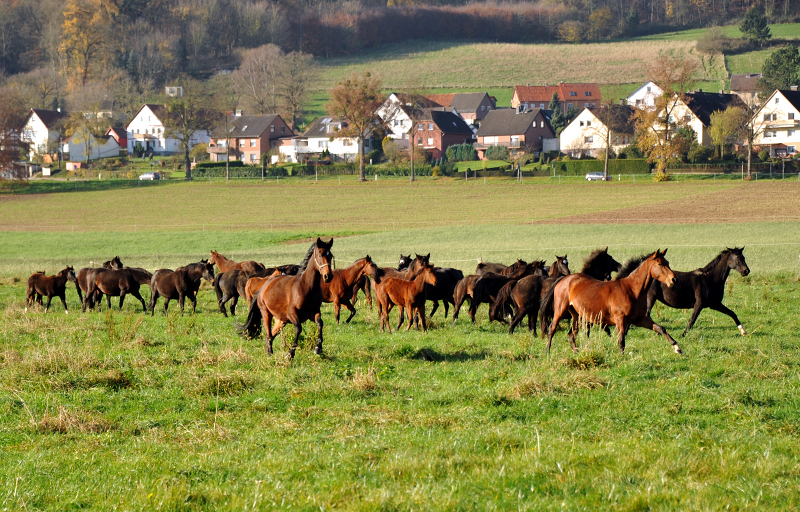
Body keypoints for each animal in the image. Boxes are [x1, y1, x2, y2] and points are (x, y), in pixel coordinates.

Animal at [544, 252, 680, 356]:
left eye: (667, 262)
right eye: (660, 264)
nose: (673, 279)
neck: (631, 290)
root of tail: (564, 279)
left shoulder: (639, 319)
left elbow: (660, 328)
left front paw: (677, 348)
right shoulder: (620, 319)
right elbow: (621, 340)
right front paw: (622, 358)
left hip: (577, 315)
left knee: (571, 334)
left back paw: (577, 353)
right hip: (560, 310)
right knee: (552, 329)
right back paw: (548, 353)